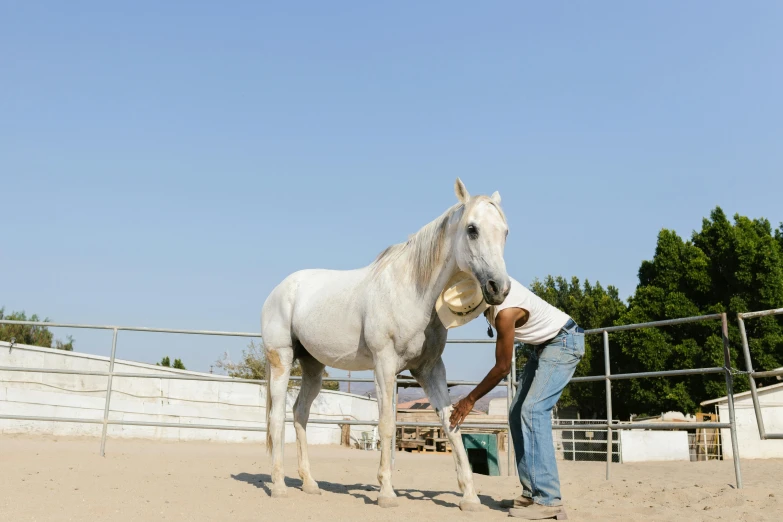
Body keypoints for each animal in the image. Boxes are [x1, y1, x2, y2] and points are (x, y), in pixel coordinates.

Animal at [260, 178, 512, 508]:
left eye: (505, 231)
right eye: (472, 229)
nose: (500, 288)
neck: (413, 291)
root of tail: (278, 291)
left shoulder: (430, 370)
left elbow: (450, 424)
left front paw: (469, 498)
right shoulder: (384, 365)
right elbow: (386, 425)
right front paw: (386, 494)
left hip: (313, 366)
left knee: (300, 413)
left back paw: (310, 484)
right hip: (282, 359)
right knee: (277, 417)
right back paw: (278, 486)